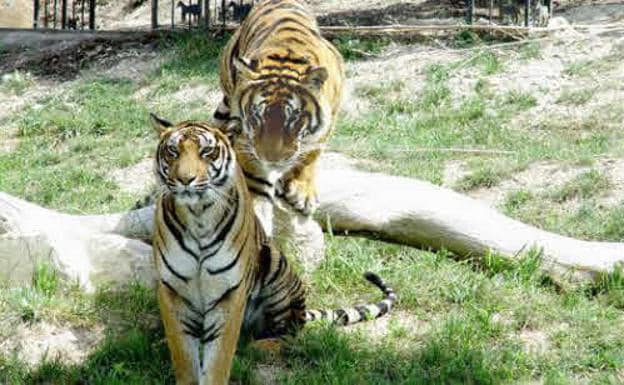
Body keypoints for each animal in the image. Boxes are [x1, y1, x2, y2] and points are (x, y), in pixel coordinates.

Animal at [149, 115, 394, 384]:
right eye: (173, 152)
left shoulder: (229, 292)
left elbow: (218, 359)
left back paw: (259, 346)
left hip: (276, 267)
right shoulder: (172, 289)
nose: (185, 180)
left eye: (207, 152)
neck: (197, 216)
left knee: (292, 334)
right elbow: (183, 354)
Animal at [212, 0, 344, 225]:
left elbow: (310, 155)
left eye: (293, 117)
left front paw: (303, 192)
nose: (271, 159)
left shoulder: (329, 119)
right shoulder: (246, 137)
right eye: (256, 116)